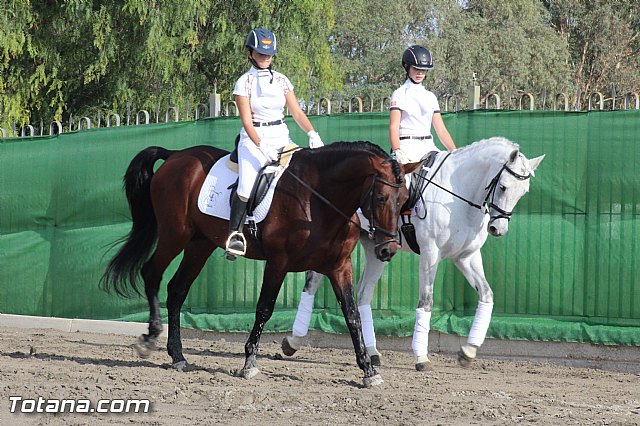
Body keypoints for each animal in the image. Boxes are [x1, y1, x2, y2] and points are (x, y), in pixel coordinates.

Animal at [100, 141, 421, 387]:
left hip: (199, 245)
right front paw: (249, 363)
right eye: (381, 197)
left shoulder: (339, 267)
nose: (388, 249)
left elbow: (352, 316)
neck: (317, 200)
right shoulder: (278, 262)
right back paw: (151, 338)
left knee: (177, 290)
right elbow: (264, 308)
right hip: (173, 235)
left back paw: (178, 356)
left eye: (405, 198)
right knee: (151, 274)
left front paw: (368, 370)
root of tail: (177, 154)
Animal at [280, 137, 545, 370]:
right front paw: (421, 357)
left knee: (364, 293)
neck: (458, 195)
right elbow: (426, 302)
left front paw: (468, 352)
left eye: (524, 192)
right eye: (503, 187)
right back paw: (292, 341)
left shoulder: (465, 256)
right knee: (312, 282)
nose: (498, 229)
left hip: (377, 250)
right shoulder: (430, 253)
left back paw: (373, 352)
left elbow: (487, 295)